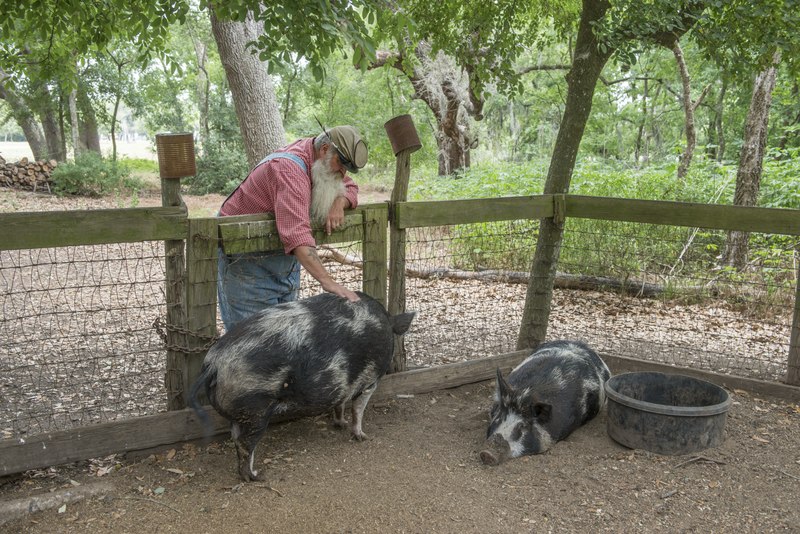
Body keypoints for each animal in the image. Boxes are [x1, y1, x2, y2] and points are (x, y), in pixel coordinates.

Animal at [190, 292, 416, 484]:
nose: (342, 426)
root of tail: (213, 364)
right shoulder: (371, 380)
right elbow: (358, 409)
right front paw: (362, 437)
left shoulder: (342, 385)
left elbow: (340, 403)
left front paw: (340, 424)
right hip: (256, 408)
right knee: (246, 444)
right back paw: (257, 476)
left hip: (242, 411)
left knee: (237, 439)